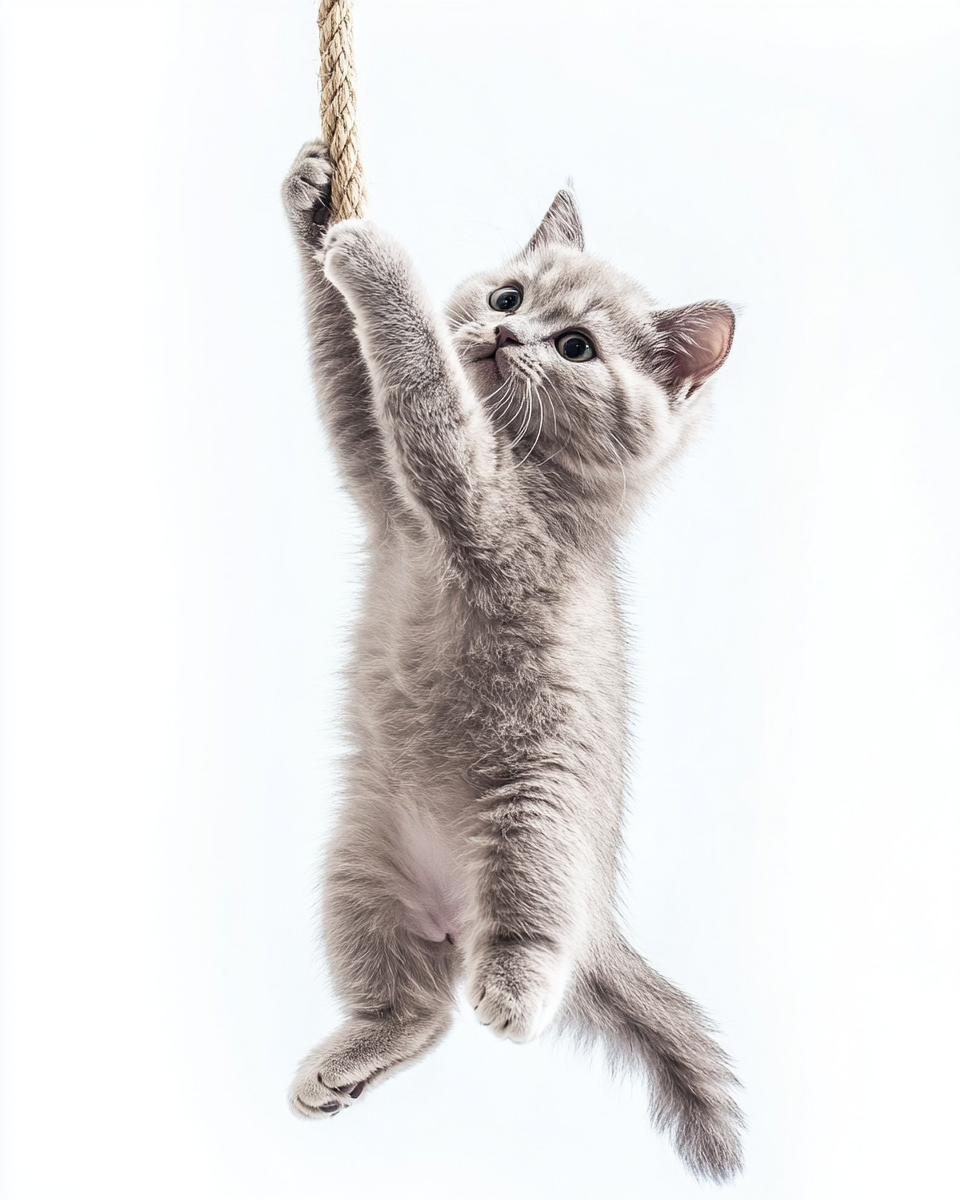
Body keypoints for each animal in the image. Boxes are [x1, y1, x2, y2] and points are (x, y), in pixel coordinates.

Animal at [280, 140, 744, 1180]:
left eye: (574, 347)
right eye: (506, 295)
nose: (503, 334)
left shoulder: (474, 495)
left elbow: (418, 379)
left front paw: (376, 259)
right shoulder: (379, 470)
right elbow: (346, 370)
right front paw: (317, 205)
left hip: (536, 820)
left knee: (526, 941)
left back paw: (513, 992)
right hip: (360, 873)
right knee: (421, 1013)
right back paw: (354, 1059)